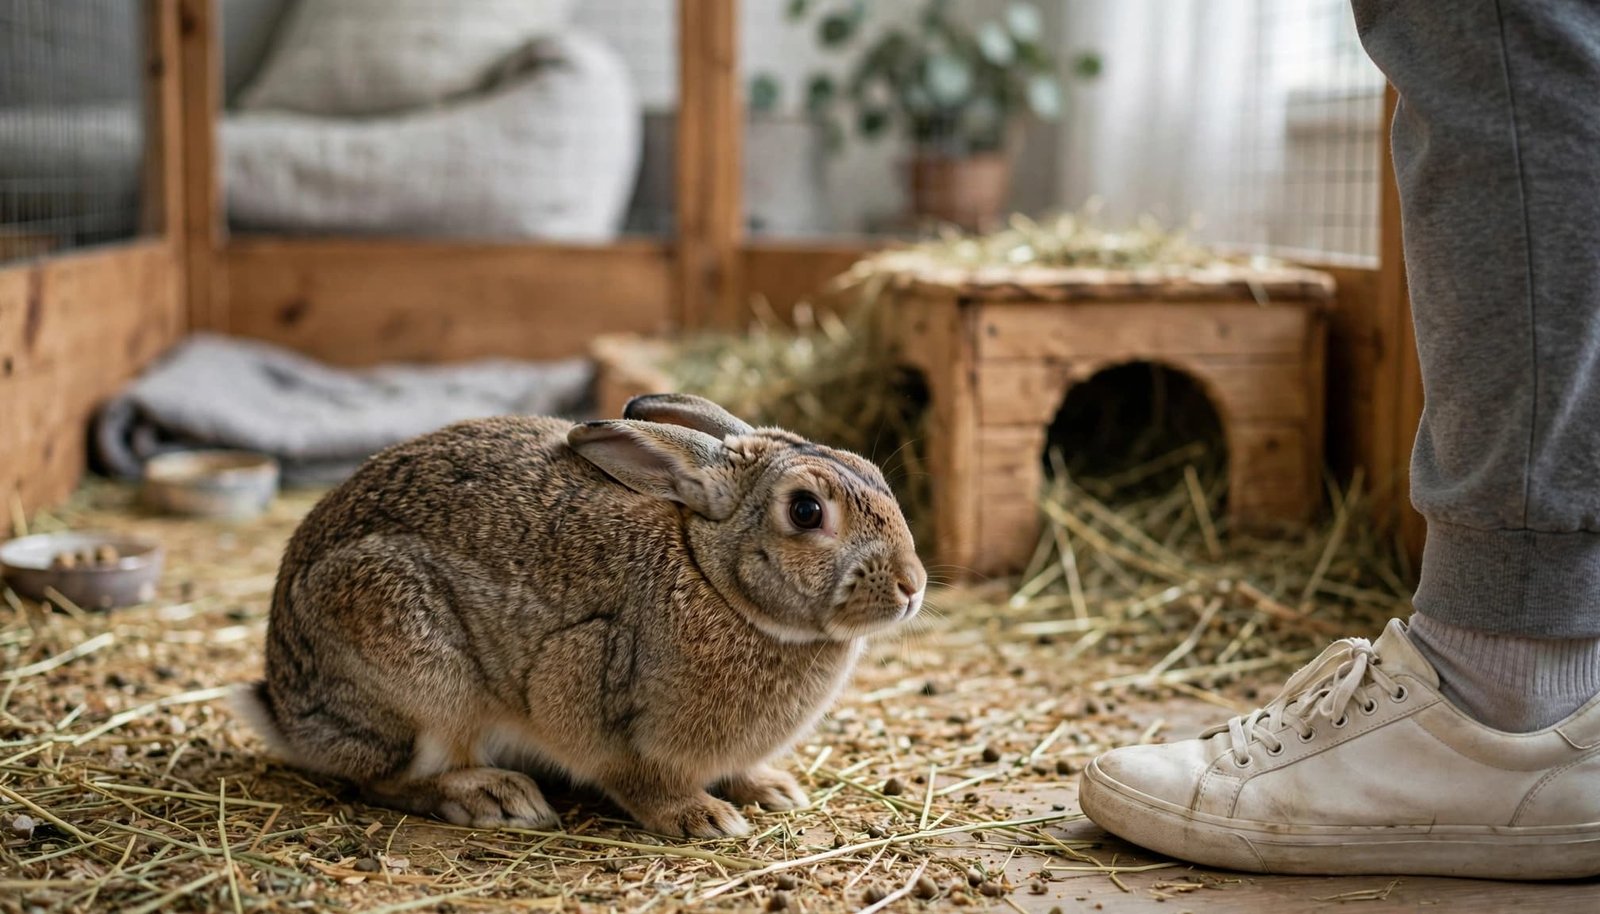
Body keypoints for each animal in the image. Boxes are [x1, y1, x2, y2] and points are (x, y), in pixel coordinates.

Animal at [234, 393, 927, 837]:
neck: (713, 576)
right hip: (415, 668)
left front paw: (772, 789)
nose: (912, 586)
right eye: (806, 511)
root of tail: (288, 710)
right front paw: (703, 817)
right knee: (386, 778)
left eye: (870, 470)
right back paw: (495, 798)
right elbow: (634, 776)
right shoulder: (583, 680)